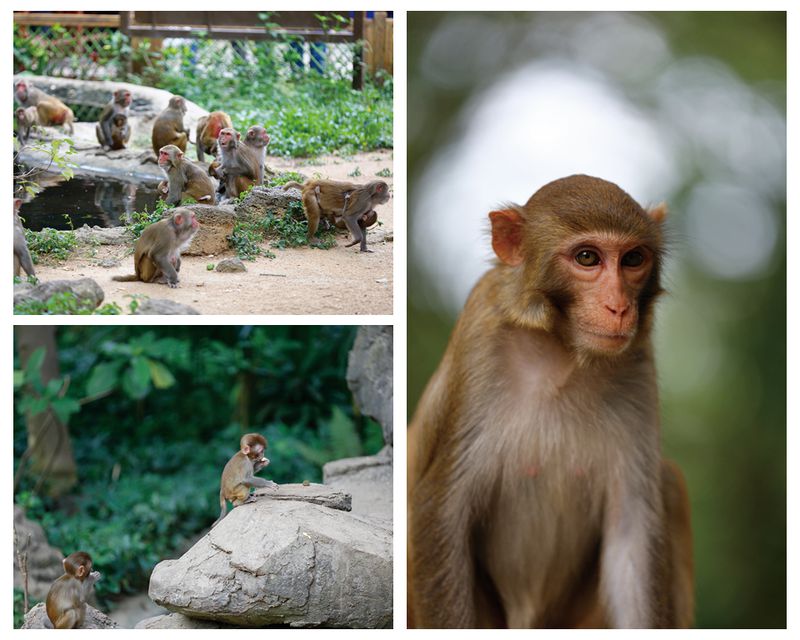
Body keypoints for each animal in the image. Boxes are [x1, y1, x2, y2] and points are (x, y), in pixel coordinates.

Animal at [406, 175, 692, 632]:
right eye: (587, 257)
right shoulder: (480, 340)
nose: (619, 307)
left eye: (633, 259)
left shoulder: (637, 362)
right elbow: (439, 510)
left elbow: (632, 532)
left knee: (668, 482)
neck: (562, 354)